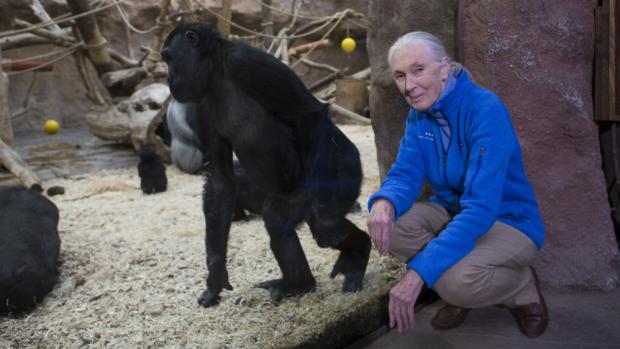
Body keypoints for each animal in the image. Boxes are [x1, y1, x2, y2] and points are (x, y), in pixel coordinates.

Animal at [162, 21, 370, 306]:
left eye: (169, 59)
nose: (168, 78)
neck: (217, 74)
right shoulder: (201, 105)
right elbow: (220, 183)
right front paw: (215, 277)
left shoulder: (248, 63)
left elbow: (309, 115)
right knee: (281, 218)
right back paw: (305, 280)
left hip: (343, 170)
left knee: (322, 224)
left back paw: (352, 250)